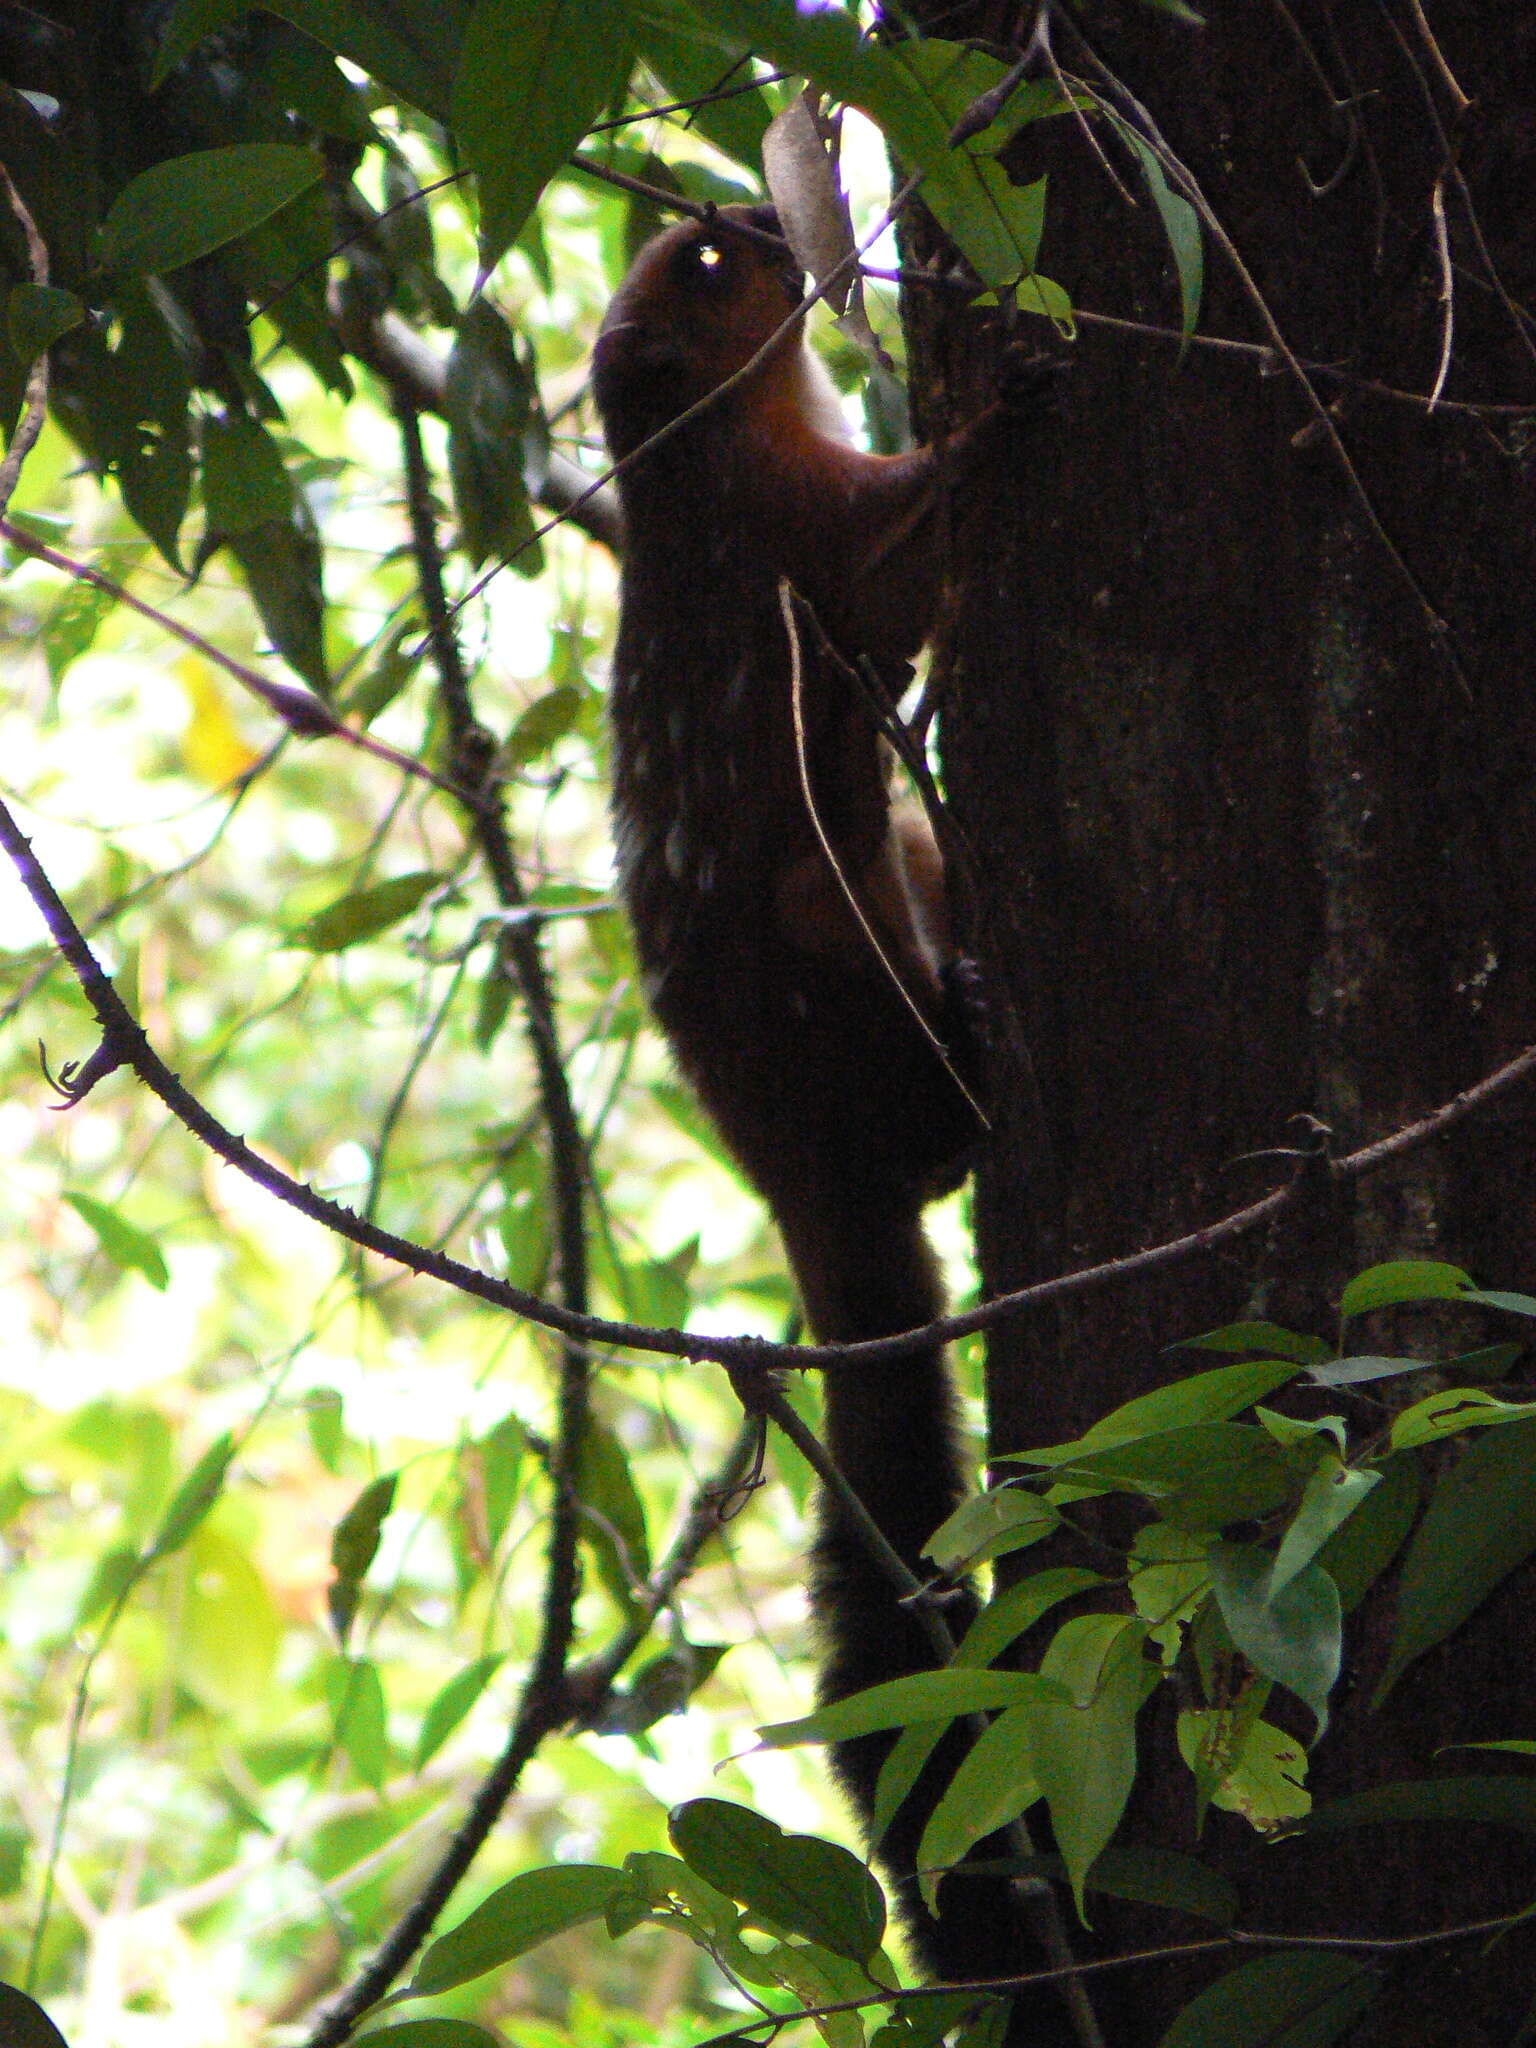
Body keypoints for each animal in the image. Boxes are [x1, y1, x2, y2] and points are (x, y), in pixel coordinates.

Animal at [589, 207, 1073, 2031]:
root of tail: (792, 1180)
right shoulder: (807, 541)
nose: (770, 210)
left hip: (904, 866)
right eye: (708, 261)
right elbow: (902, 562)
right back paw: (970, 1054)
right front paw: (998, 399)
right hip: (826, 915)